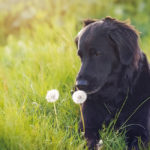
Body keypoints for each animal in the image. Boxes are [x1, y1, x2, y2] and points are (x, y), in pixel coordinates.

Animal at [74, 17, 150, 149]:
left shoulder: (140, 130)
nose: (80, 85)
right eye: (80, 55)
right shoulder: (87, 127)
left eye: (97, 53)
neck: (114, 95)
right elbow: (90, 142)